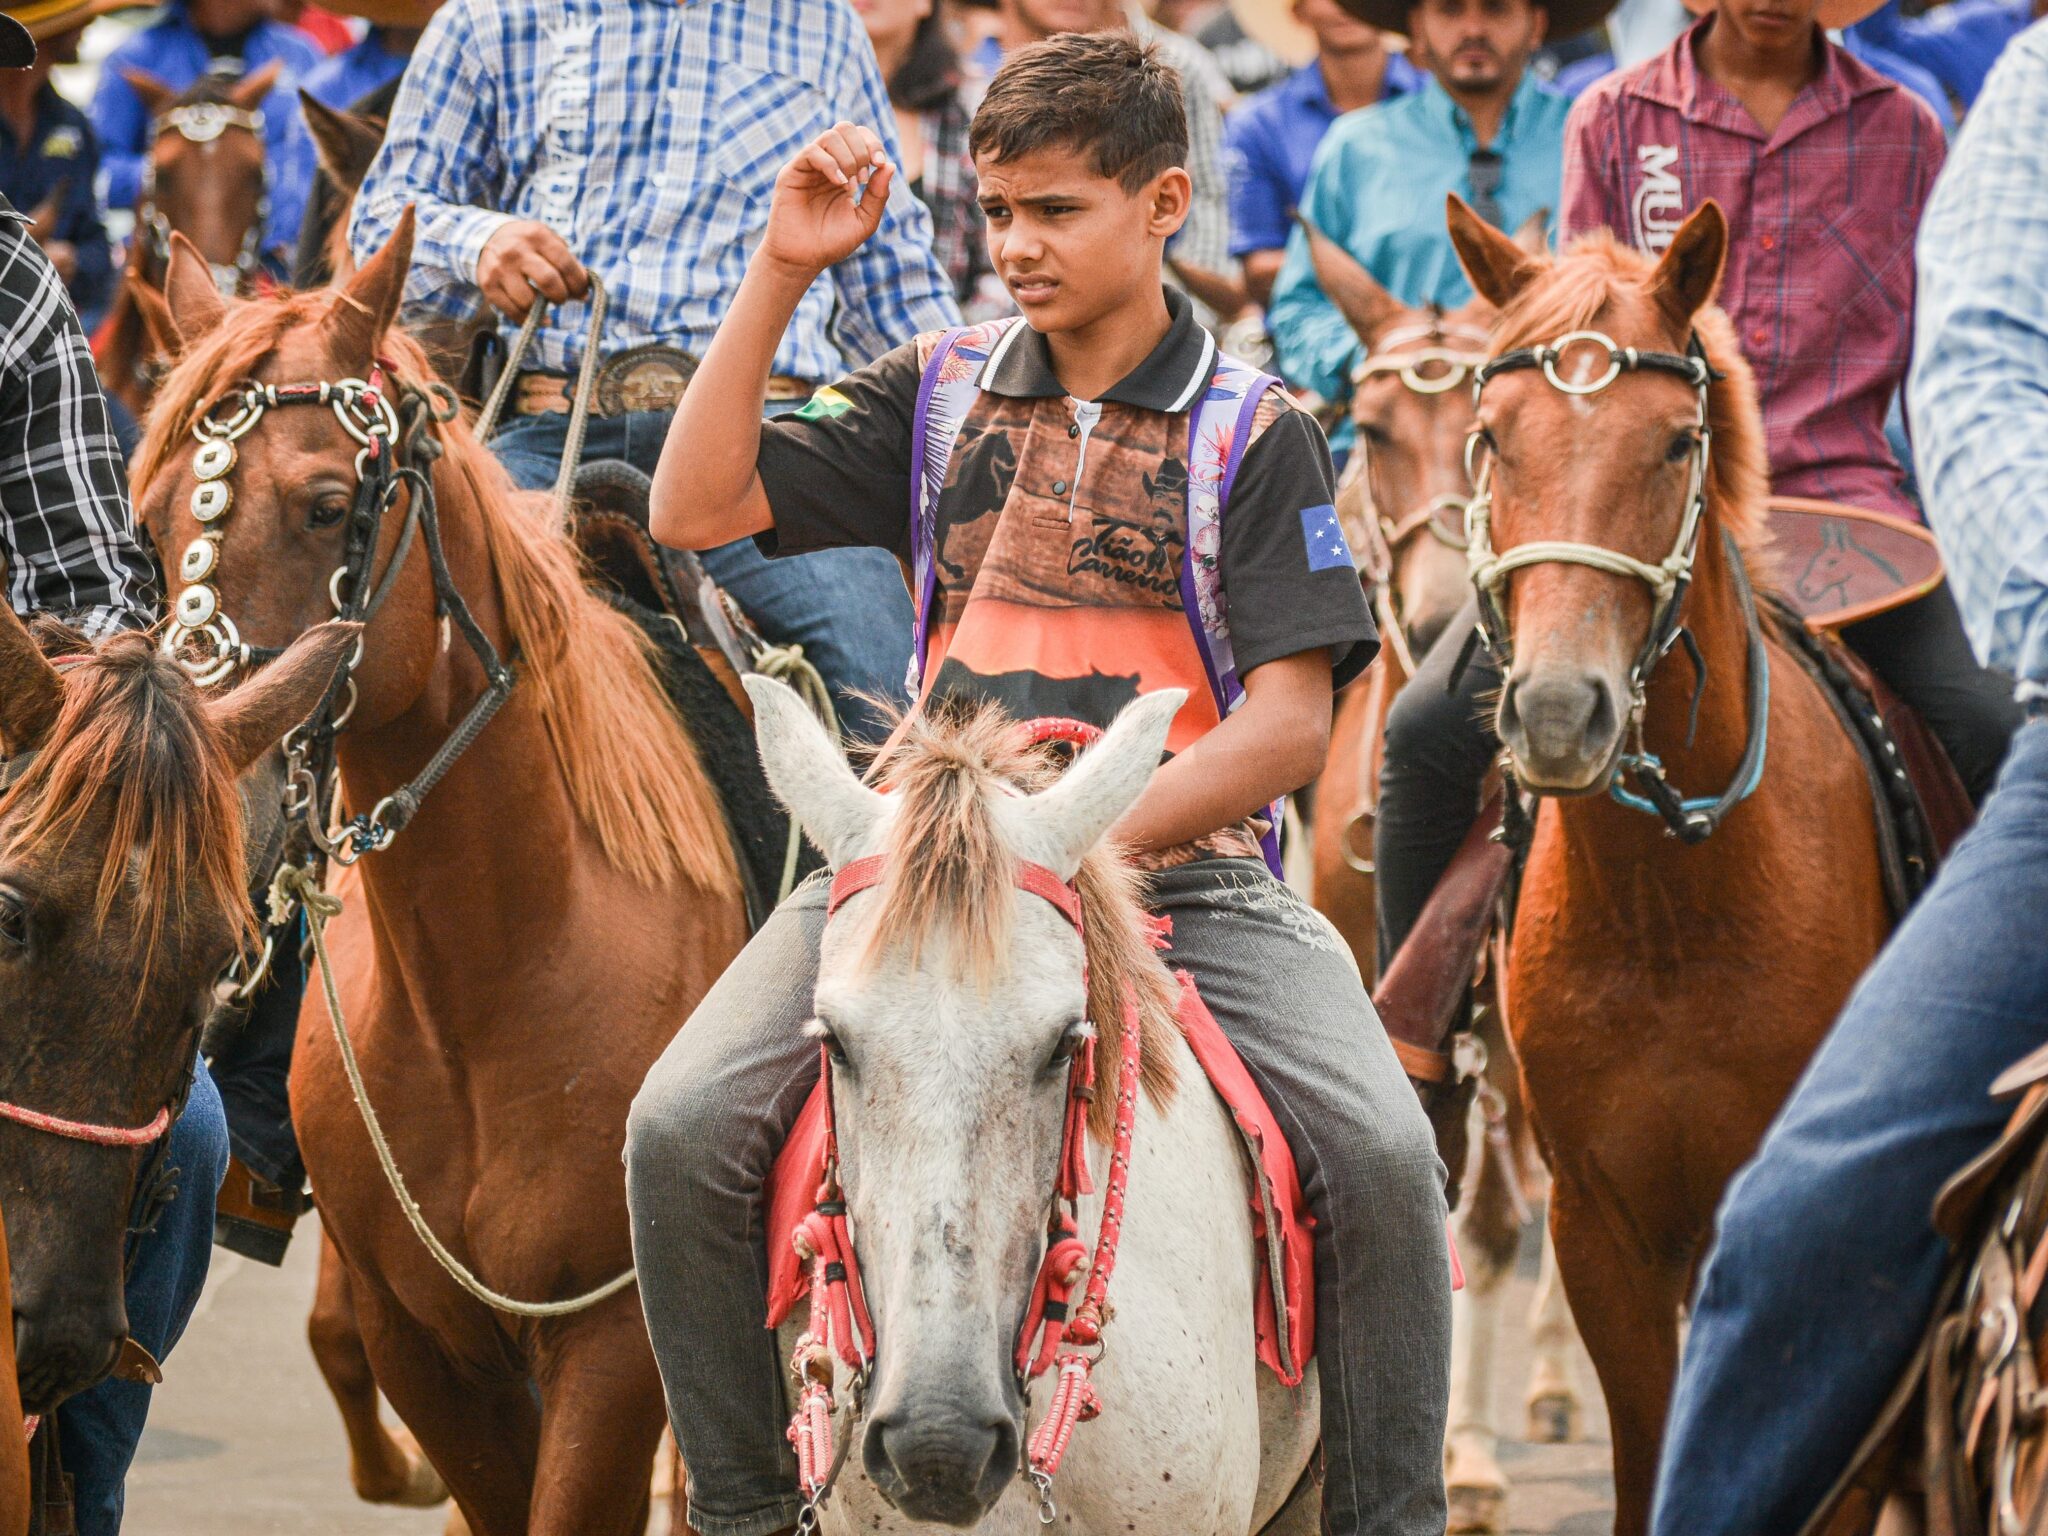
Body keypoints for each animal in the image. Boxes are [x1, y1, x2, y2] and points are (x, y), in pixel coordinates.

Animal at [132, 217, 753, 1536]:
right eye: (152, 525)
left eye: (329, 505)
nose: (196, 793)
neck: (495, 971)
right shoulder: (422, 1341)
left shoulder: (612, 1348)